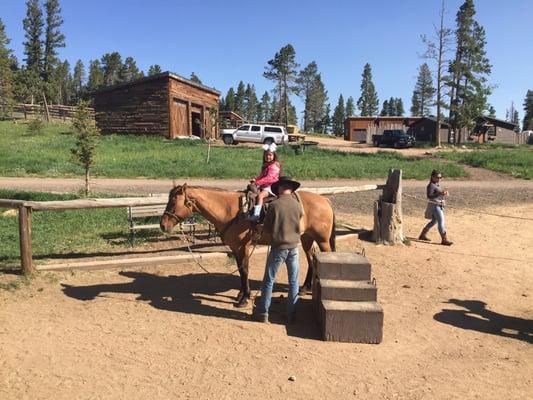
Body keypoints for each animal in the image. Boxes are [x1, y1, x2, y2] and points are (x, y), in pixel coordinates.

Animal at [158, 184, 334, 306]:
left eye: (173, 201)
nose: (162, 225)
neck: (231, 211)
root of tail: (324, 200)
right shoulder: (236, 248)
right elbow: (241, 269)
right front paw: (241, 294)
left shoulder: (243, 247)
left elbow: (244, 270)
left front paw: (245, 298)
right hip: (306, 238)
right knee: (311, 259)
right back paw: (305, 287)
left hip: (322, 240)